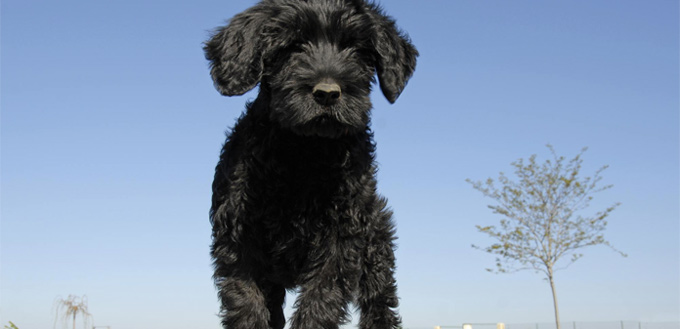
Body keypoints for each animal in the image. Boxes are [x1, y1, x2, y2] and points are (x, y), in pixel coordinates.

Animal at [203, 1, 414, 326]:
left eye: (355, 48)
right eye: (292, 46)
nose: (327, 93)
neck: (305, 152)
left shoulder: (342, 237)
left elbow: (321, 300)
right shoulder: (239, 239)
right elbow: (246, 301)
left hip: (377, 242)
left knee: (380, 301)